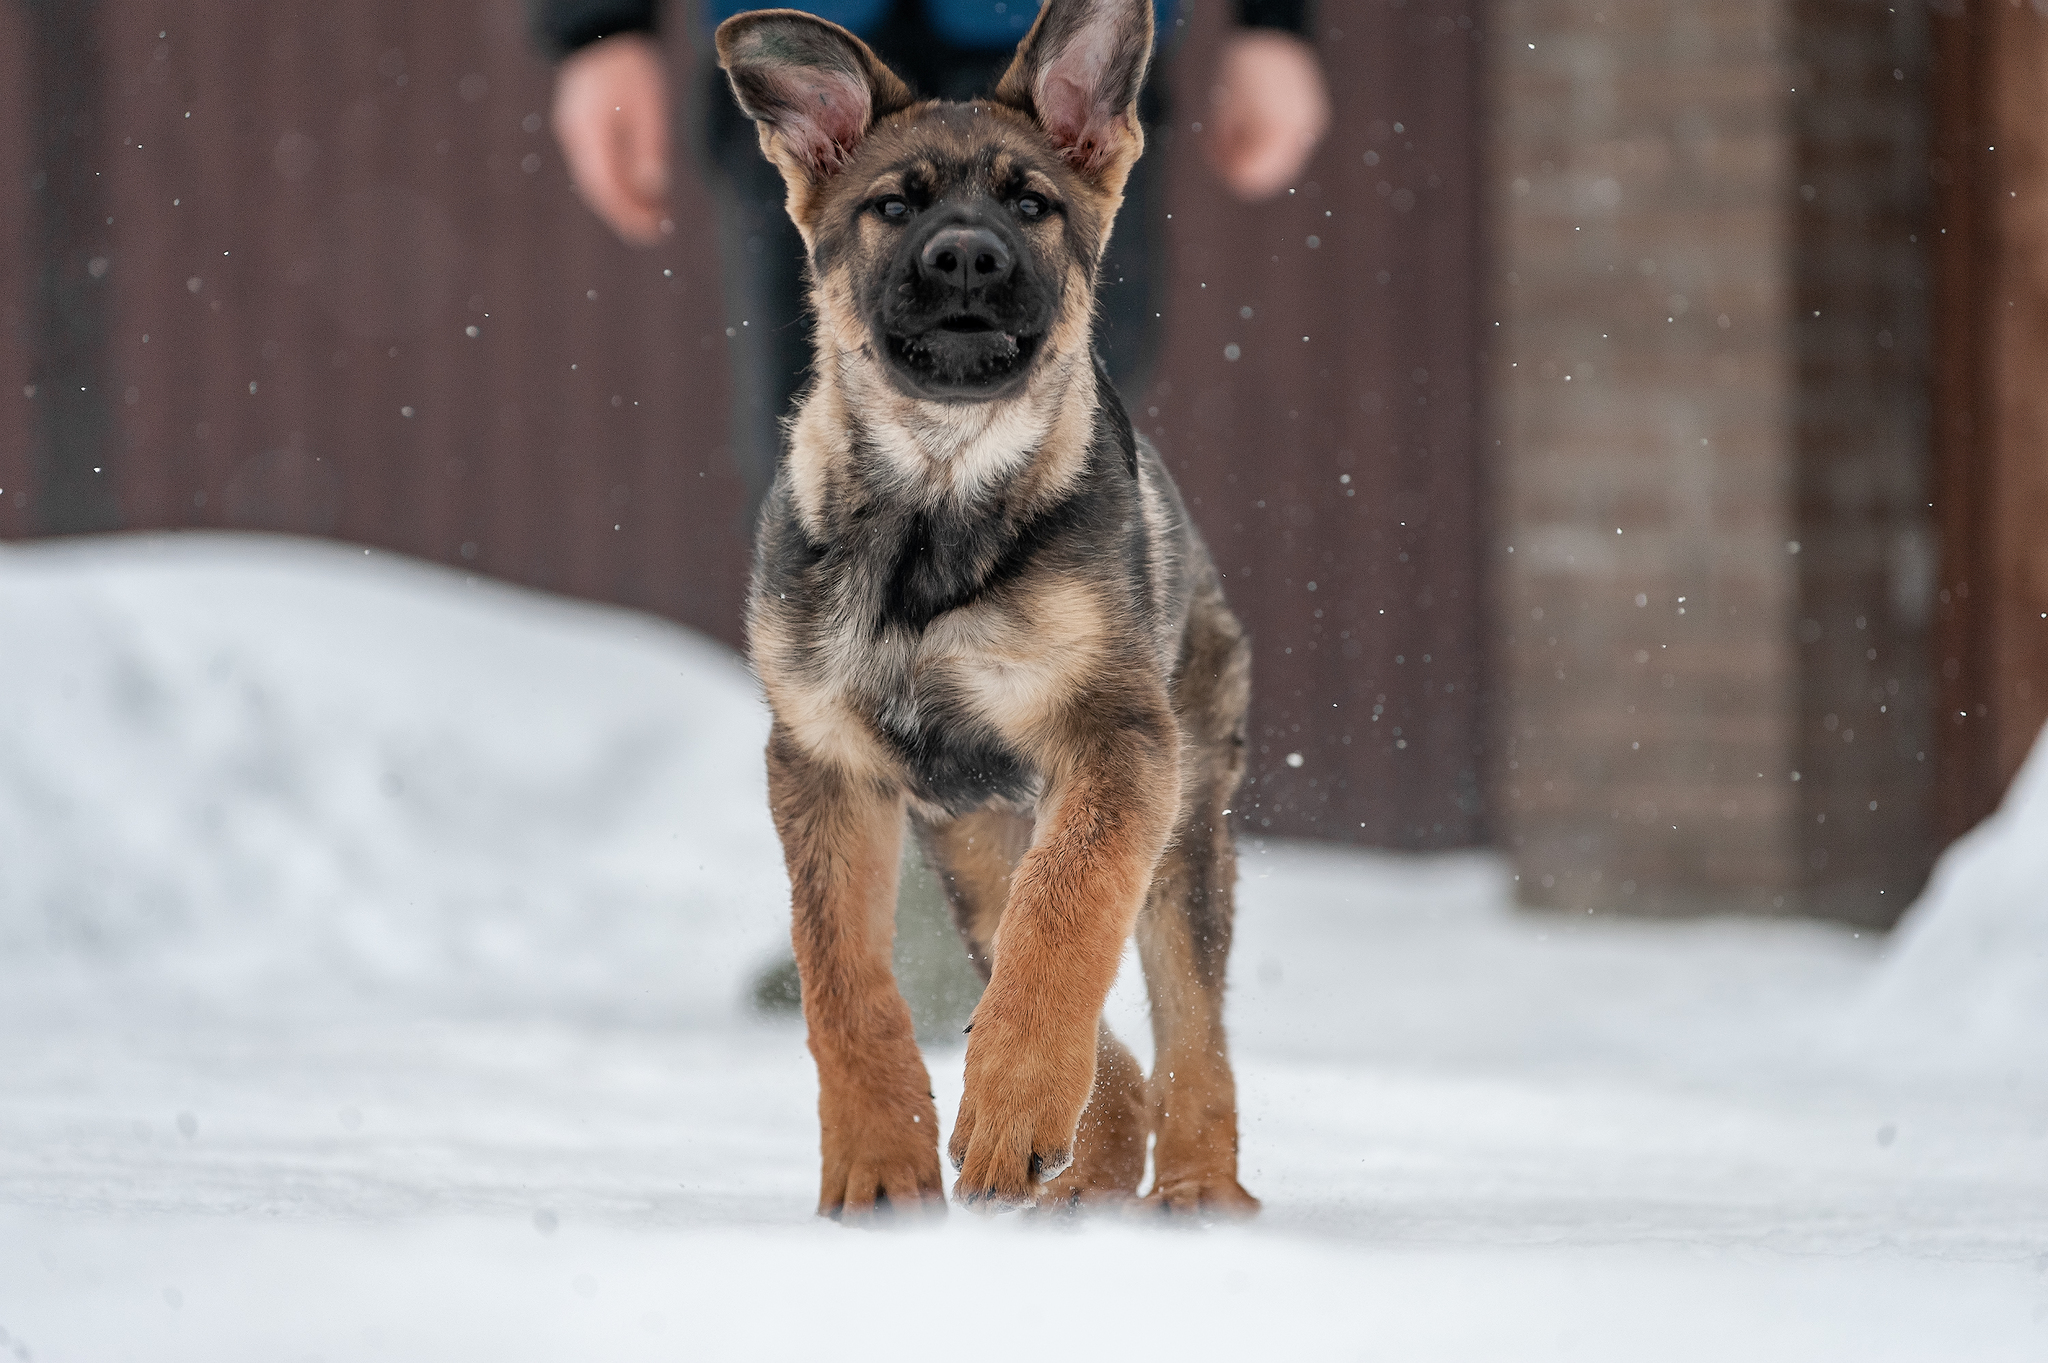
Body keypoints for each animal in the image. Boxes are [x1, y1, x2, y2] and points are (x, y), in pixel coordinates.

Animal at [720, 0, 1261, 1211]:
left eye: (1030, 204)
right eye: (893, 206)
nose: (965, 253)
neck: (936, 492)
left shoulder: (1114, 740)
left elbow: (1065, 921)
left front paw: (1011, 1101)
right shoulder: (822, 761)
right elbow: (843, 980)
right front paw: (880, 1163)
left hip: (1181, 813)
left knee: (1185, 1016)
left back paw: (1194, 1181)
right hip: (970, 846)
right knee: (1071, 998)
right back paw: (1084, 1165)